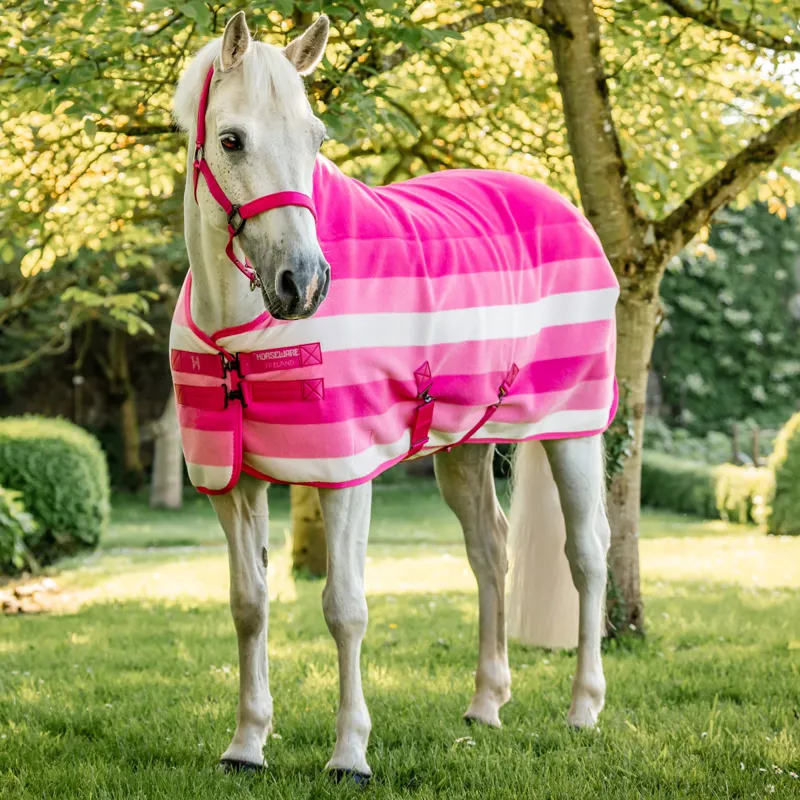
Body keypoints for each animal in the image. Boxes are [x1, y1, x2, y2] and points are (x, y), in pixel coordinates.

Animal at [170, 10, 618, 780]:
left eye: (316, 137)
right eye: (231, 140)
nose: (304, 283)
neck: (239, 333)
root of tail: (562, 204)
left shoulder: (345, 473)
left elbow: (345, 608)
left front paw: (349, 753)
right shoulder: (233, 482)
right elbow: (248, 604)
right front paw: (246, 744)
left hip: (575, 431)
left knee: (588, 553)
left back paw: (584, 708)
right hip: (465, 447)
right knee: (489, 551)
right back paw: (486, 703)